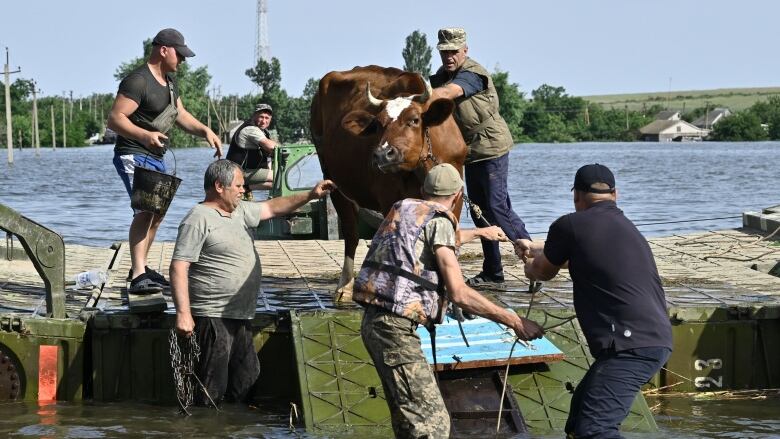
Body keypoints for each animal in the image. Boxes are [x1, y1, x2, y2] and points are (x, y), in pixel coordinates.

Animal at [310, 64, 466, 300]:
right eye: (378, 125)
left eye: (414, 120)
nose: (383, 154)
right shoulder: (389, 199)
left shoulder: (457, 198)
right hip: (333, 180)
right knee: (351, 233)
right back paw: (345, 286)